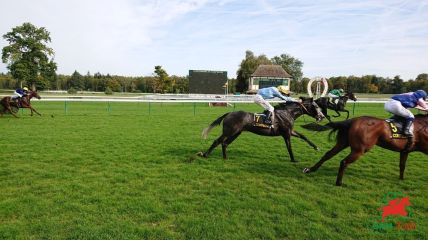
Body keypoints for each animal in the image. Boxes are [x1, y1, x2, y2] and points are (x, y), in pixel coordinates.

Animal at [300, 114, 428, 186]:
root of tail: (352, 120)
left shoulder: (405, 151)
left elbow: (402, 165)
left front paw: (401, 179)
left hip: (342, 143)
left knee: (328, 154)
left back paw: (310, 169)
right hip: (360, 150)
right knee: (344, 162)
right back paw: (339, 183)